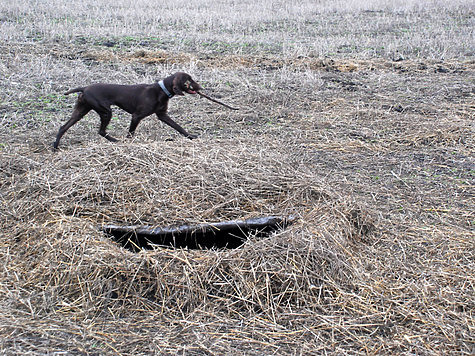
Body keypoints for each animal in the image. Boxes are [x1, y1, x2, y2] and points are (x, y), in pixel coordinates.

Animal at [53, 72, 201, 149]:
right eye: (189, 79)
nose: (200, 87)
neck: (161, 91)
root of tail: (84, 88)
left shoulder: (163, 115)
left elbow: (178, 127)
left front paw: (191, 136)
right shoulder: (136, 116)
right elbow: (131, 133)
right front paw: (129, 143)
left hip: (81, 111)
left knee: (63, 127)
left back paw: (55, 146)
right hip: (106, 111)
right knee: (101, 131)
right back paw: (116, 141)